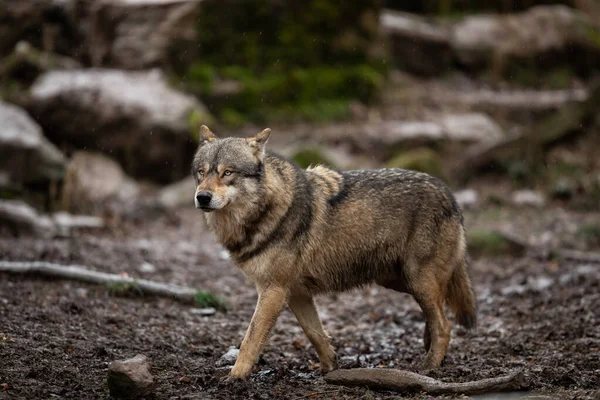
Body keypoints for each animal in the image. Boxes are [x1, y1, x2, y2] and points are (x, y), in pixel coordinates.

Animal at [192, 126, 478, 380]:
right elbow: (315, 334)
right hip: (399, 281)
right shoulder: (296, 293)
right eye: (201, 173)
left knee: (444, 324)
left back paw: (429, 366)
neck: (265, 210)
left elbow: (250, 339)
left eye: (227, 173)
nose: (202, 197)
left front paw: (235, 376)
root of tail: (450, 195)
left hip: (417, 280)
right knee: (436, 314)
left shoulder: (272, 290)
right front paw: (330, 367)